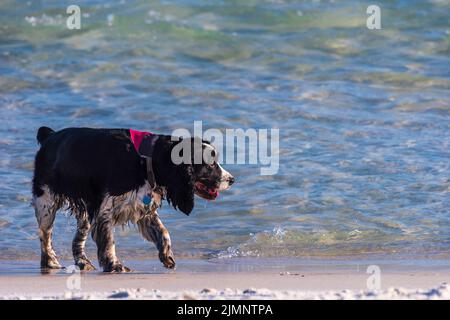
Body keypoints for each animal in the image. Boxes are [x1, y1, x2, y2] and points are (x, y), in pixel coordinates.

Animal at [32, 126, 236, 272]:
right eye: (210, 165)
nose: (232, 179)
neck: (147, 160)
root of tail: (49, 136)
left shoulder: (144, 208)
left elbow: (163, 232)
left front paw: (167, 256)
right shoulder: (106, 210)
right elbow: (109, 241)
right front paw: (114, 265)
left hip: (86, 211)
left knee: (78, 239)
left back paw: (83, 262)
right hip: (46, 203)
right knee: (45, 236)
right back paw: (50, 262)